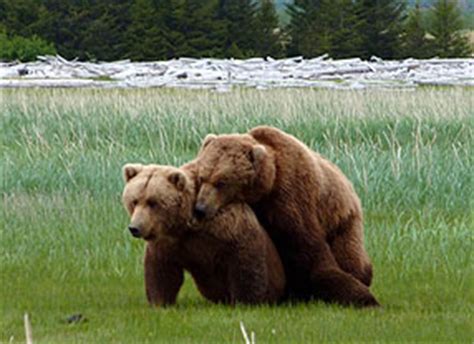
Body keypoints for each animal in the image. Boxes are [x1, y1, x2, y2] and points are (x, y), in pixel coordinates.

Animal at [122, 162, 286, 306]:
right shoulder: (169, 242)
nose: (134, 228)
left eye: (152, 202)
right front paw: (160, 302)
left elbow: (245, 262)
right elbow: (162, 270)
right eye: (134, 201)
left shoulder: (228, 228)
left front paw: (246, 301)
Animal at [194, 125, 380, 306]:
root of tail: (348, 182)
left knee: (350, 255)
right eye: (202, 177)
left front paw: (361, 297)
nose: (200, 208)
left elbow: (308, 249)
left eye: (221, 182)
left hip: (342, 218)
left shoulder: (290, 198)